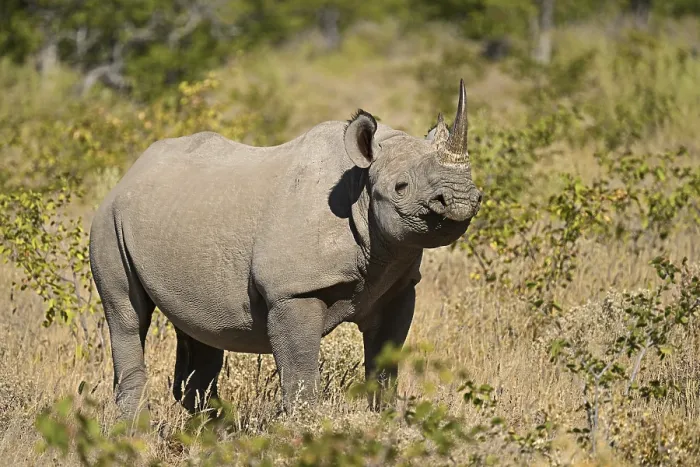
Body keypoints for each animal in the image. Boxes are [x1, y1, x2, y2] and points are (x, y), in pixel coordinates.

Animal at [89, 79, 482, 421]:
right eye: (401, 187)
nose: (462, 198)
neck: (360, 188)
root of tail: (128, 175)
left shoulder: (398, 287)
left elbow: (385, 362)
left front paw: (384, 420)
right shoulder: (292, 291)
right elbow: (300, 371)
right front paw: (304, 427)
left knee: (198, 327)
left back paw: (218, 428)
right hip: (108, 221)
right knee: (127, 315)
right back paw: (135, 431)